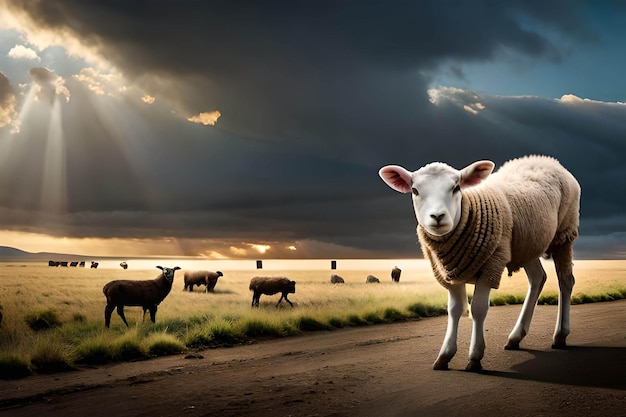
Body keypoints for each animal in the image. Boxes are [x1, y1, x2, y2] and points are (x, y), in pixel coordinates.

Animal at [378, 154, 576, 368]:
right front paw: (445, 355)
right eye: (415, 190)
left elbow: (478, 309)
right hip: (526, 245)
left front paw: (475, 357)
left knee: (565, 280)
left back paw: (560, 335)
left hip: (564, 233)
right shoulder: (448, 272)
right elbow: (455, 310)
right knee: (538, 278)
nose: (438, 216)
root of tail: (547, 160)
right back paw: (515, 337)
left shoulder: (491, 265)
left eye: (456, 187)